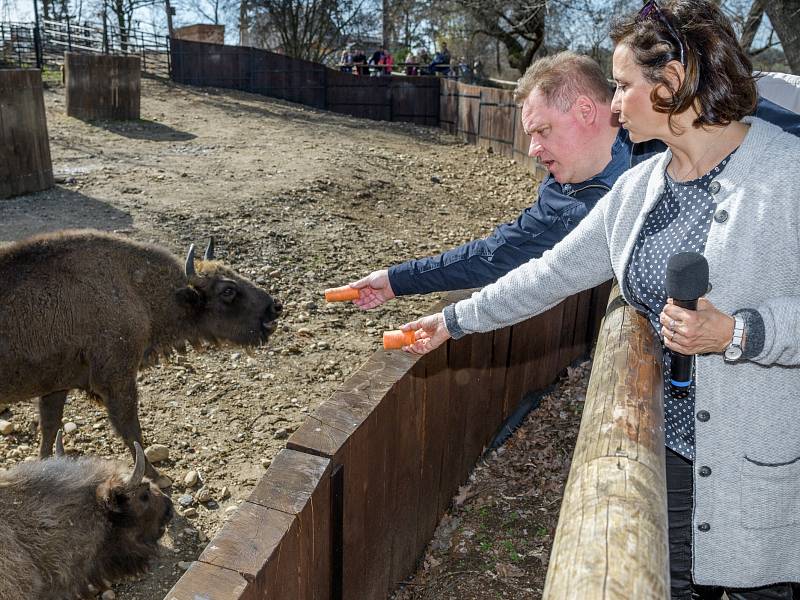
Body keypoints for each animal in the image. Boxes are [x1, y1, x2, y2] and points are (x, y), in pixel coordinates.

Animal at [0, 230, 282, 482]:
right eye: (227, 291)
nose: (274, 307)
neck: (138, 291)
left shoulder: (56, 386)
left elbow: (50, 426)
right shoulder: (118, 381)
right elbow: (130, 429)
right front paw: (156, 475)